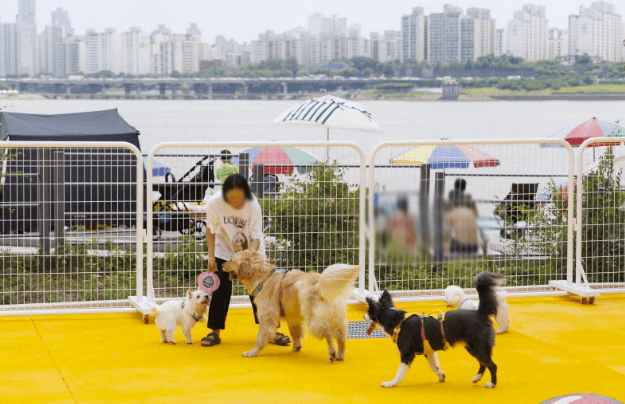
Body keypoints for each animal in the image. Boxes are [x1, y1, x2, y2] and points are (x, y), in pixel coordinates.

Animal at [224, 251, 360, 362]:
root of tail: (319, 283)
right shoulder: (292, 315)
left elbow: (260, 338)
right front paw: (296, 346)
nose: (221, 265)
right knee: (341, 335)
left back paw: (332, 353)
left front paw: (253, 352)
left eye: (231, 259)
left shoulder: (266, 316)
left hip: (314, 319)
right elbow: (294, 332)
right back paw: (340, 354)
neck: (263, 278)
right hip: (337, 317)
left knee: (327, 333)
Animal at [366, 272, 502, 388]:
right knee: (483, 363)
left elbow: (399, 372)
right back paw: (476, 378)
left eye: (368, 312)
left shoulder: (407, 353)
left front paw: (391, 383)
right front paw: (441, 376)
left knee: (492, 365)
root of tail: (480, 313)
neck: (398, 320)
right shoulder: (429, 352)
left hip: (478, 346)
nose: (363, 316)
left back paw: (492, 384)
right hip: (472, 347)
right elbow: (434, 366)